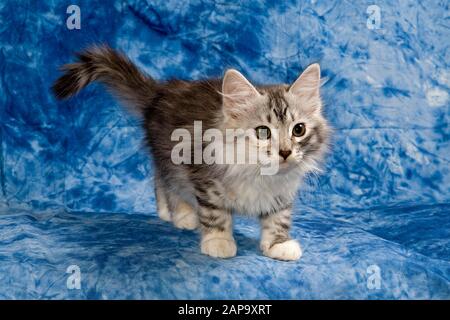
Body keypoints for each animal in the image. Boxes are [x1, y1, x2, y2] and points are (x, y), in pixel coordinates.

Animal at [54, 45, 330, 260]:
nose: (285, 152)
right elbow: (215, 213)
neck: (258, 172)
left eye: (298, 130)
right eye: (263, 132)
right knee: (166, 182)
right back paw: (180, 214)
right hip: (169, 156)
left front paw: (278, 244)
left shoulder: (283, 191)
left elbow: (278, 218)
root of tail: (161, 92)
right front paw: (218, 241)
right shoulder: (205, 176)